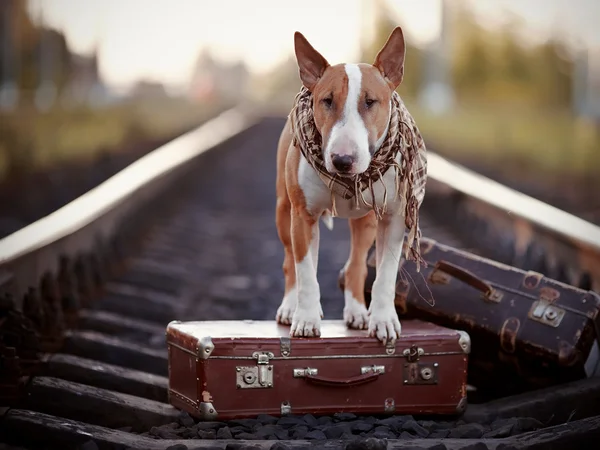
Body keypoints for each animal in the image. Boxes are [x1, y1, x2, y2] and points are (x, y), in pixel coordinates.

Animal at [274, 27, 428, 344]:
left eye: (370, 101)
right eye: (327, 100)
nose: (342, 160)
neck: (350, 179)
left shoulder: (393, 218)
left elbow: (385, 275)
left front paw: (383, 320)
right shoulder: (303, 216)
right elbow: (306, 271)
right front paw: (306, 319)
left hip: (366, 220)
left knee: (356, 264)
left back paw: (357, 312)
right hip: (284, 212)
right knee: (290, 261)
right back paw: (290, 307)